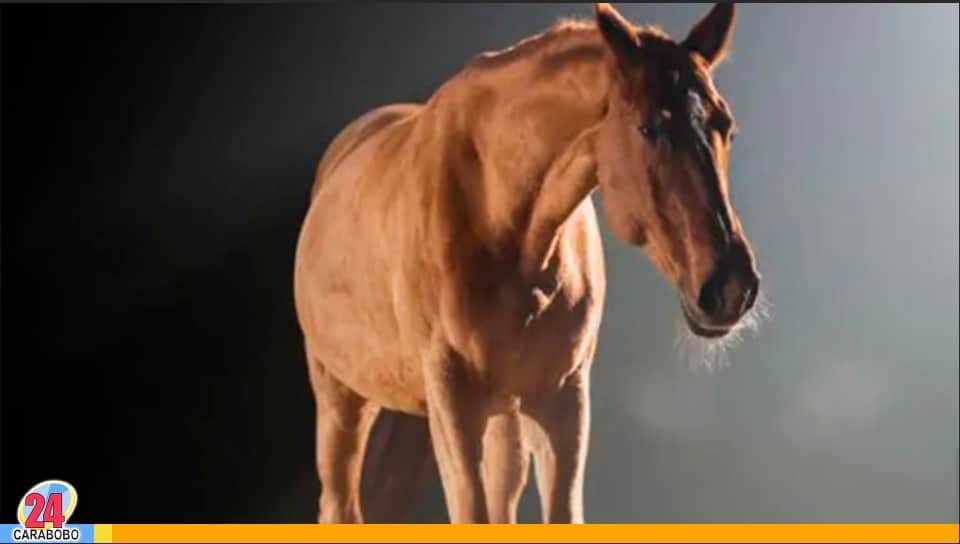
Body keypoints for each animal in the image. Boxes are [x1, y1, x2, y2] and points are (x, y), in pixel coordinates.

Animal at [290, 2, 756, 524]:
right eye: (649, 127)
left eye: (727, 128)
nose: (731, 288)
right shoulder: (454, 404)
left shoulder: (563, 400)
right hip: (340, 395)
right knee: (339, 502)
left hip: (500, 421)